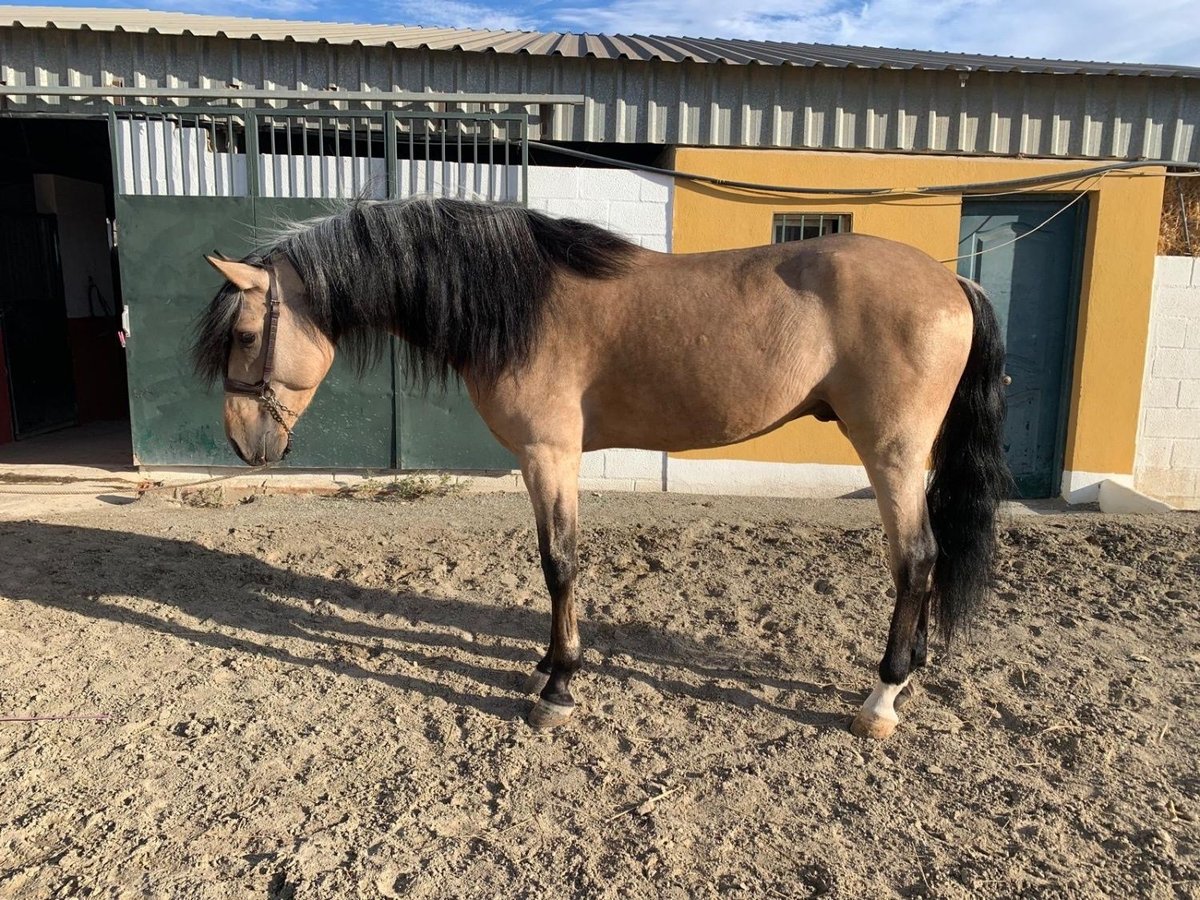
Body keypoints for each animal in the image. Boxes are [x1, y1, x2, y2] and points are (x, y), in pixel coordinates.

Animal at [192, 195, 1008, 739]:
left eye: (244, 335)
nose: (242, 443)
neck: (520, 300)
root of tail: (952, 283)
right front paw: (549, 669)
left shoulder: (549, 455)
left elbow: (559, 563)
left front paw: (558, 685)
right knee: (926, 562)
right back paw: (913, 671)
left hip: (892, 452)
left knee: (916, 559)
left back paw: (882, 698)